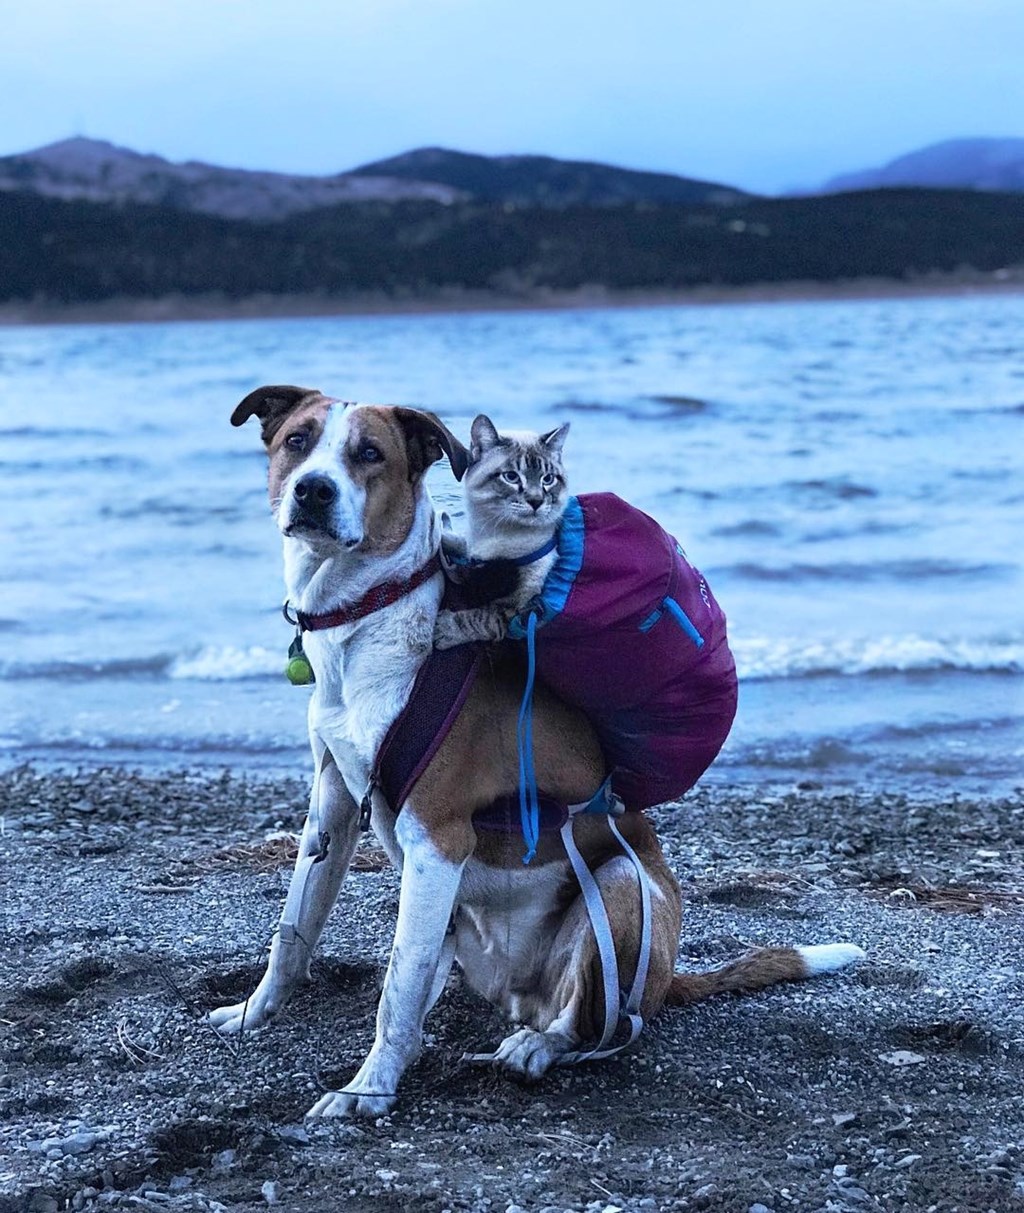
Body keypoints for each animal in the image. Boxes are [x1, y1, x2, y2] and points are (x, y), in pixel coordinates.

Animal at [434, 412, 572, 650]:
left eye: (548, 479)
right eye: (511, 477)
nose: (536, 501)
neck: (496, 531)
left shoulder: (523, 610)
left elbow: (481, 617)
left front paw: (444, 629)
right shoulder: (473, 552)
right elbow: (455, 541)